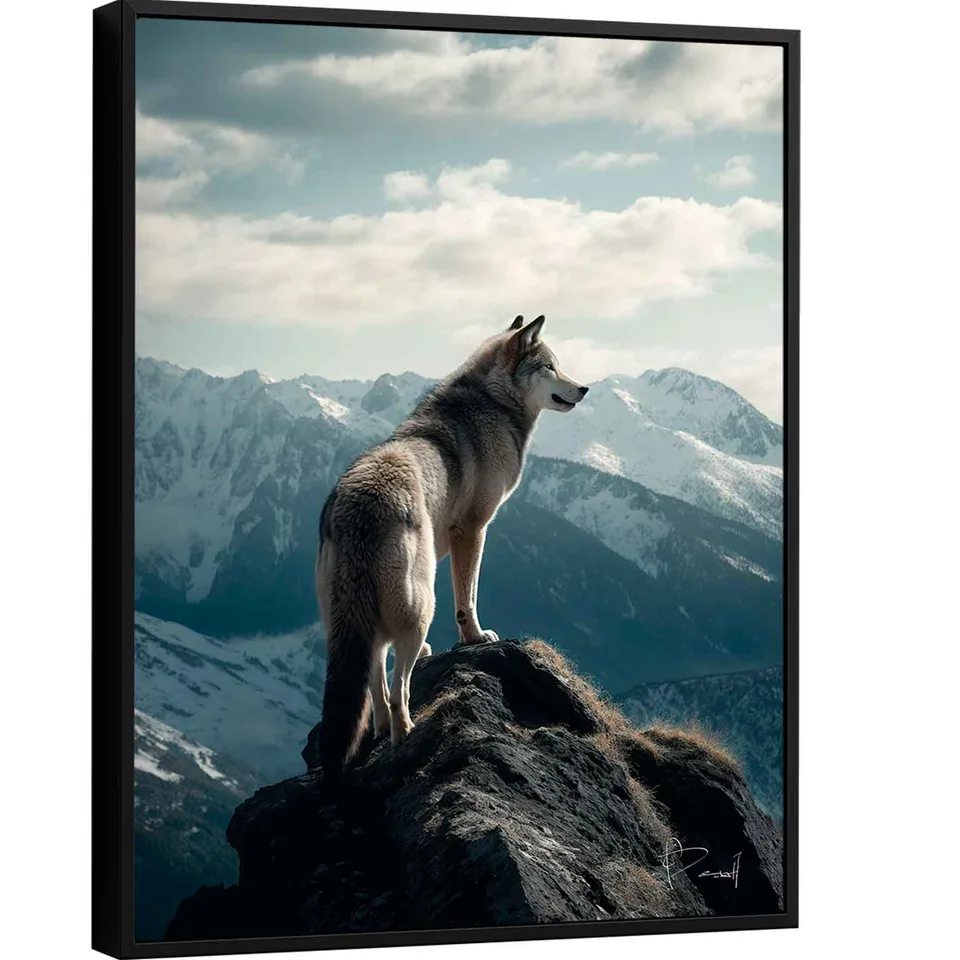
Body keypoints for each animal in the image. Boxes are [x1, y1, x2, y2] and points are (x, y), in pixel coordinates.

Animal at [314, 314, 588, 780]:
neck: (495, 404)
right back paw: (405, 733)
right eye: (550, 367)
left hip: (349, 624)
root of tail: (360, 506)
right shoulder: (474, 530)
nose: (584, 388)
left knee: (375, 678)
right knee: (398, 687)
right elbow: (468, 597)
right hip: (422, 604)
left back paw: (384, 728)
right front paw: (475, 637)